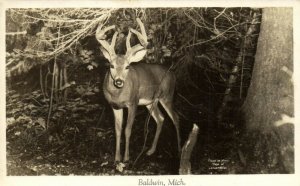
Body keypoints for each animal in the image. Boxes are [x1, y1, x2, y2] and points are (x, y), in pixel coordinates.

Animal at [96, 18, 180, 162]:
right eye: (111, 65)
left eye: (127, 66)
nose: (119, 81)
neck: (117, 95)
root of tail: (173, 74)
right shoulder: (115, 106)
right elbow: (117, 130)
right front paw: (116, 158)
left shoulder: (133, 102)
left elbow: (127, 130)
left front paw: (126, 158)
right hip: (150, 102)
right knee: (161, 118)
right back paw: (151, 150)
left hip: (167, 95)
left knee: (176, 118)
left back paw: (180, 150)